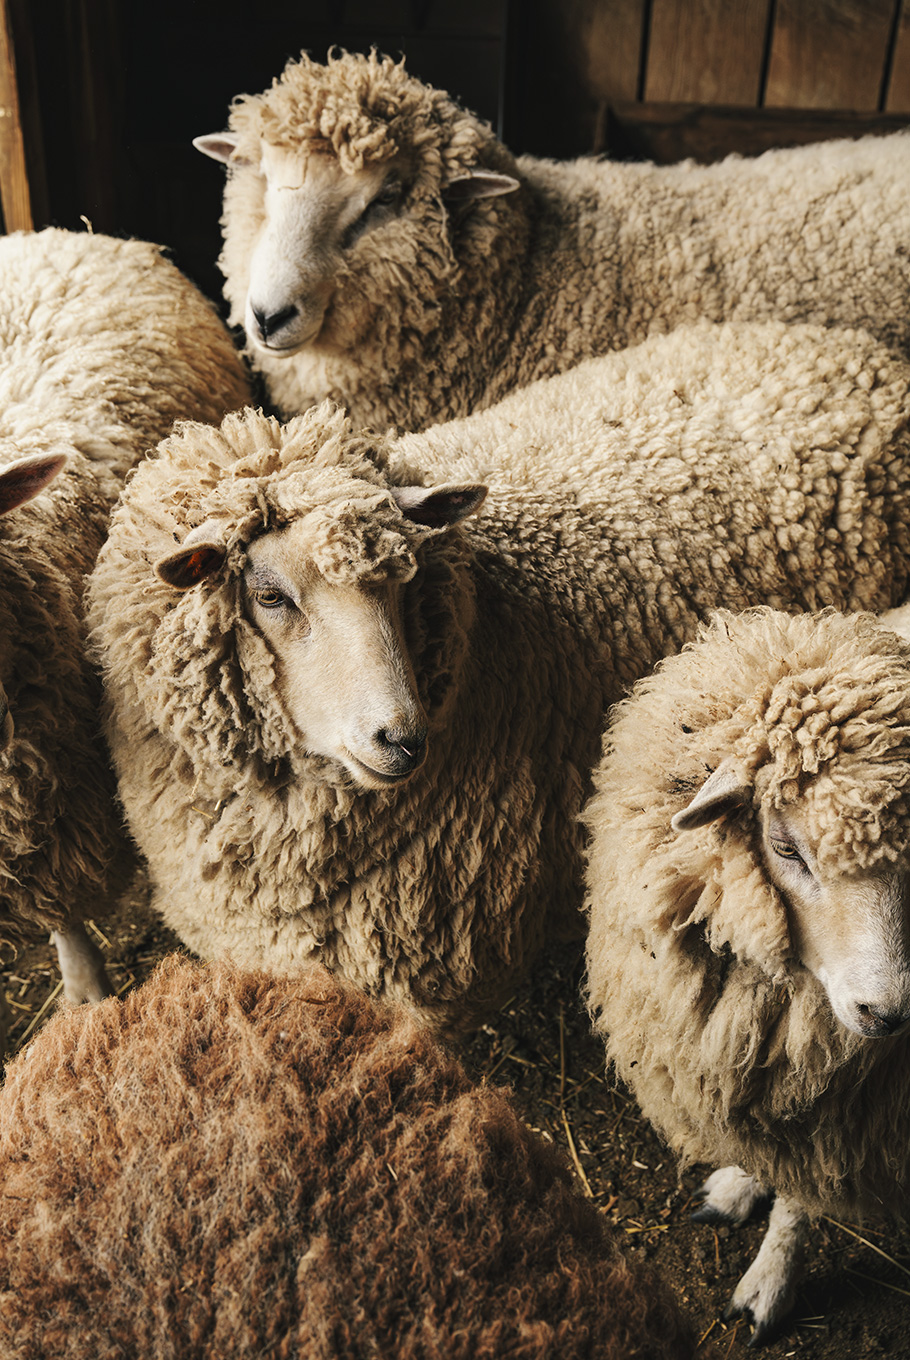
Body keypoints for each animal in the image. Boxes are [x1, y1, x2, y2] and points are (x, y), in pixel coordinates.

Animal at [584, 605, 910, 1345]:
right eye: (786, 848)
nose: (888, 1011)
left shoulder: (845, 1121)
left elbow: (800, 1201)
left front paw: (770, 1282)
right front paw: (740, 1183)